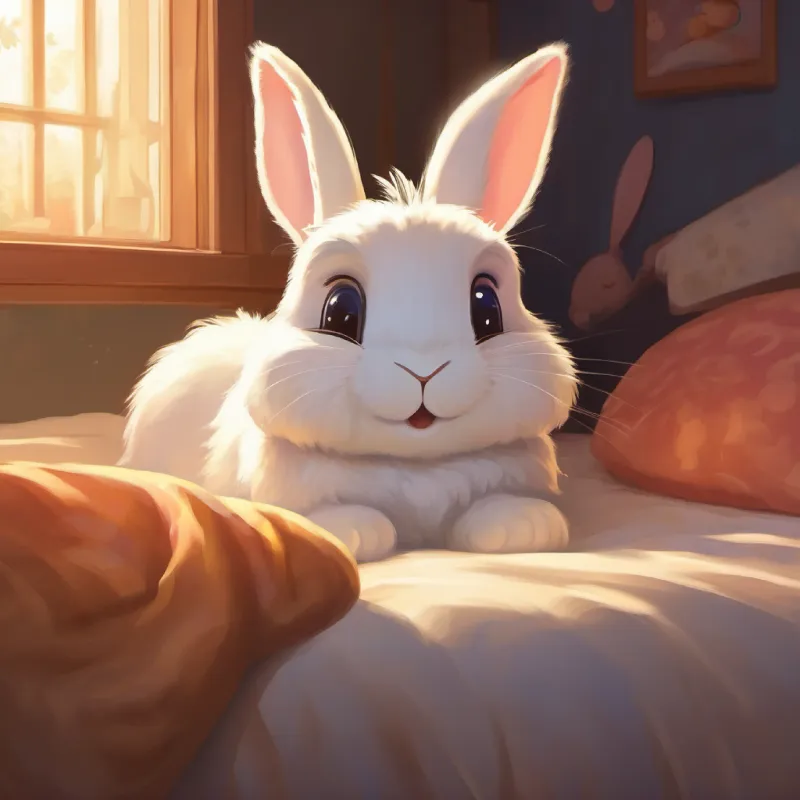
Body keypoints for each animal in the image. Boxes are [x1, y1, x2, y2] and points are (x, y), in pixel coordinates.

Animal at [120, 41, 578, 563]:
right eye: (341, 310)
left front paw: (525, 526)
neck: (415, 466)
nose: (424, 370)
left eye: (486, 307)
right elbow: (329, 515)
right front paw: (355, 532)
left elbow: (498, 506)